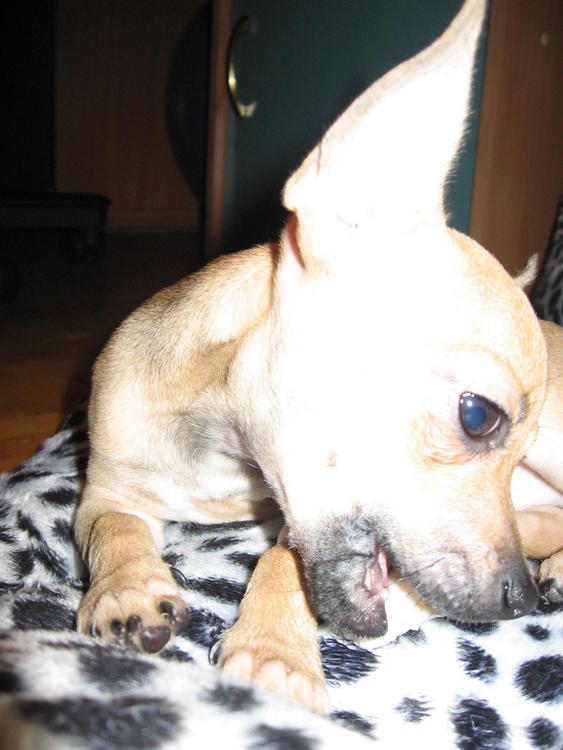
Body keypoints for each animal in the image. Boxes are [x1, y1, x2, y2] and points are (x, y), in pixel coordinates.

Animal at [74, 0, 563, 714]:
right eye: (479, 417)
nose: (517, 599)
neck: (227, 454)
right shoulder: (106, 490)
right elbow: (112, 531)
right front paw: (126, 589)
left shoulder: (296, 523)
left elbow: (284, 560)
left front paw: (274, 650)